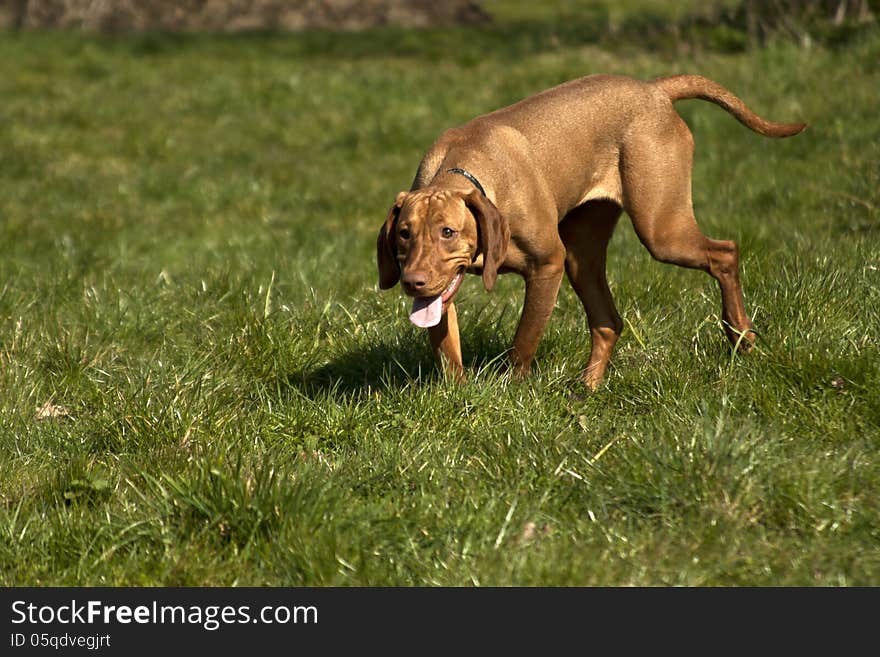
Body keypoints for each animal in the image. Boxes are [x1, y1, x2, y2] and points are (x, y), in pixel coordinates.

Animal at [376, 73, 804, 386]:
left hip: (660, 230)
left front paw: (513, 393)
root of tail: (655, 89)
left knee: (725, 252)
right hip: (583, 255)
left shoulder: (548, 264)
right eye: (404, 233)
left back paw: (741, 337)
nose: (412, 282)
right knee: (609, 323)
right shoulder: (442, 292)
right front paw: (460, 397)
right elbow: (448, 353)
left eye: (448, 232)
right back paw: (588, 388)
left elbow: (523, 344)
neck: (468, 169)